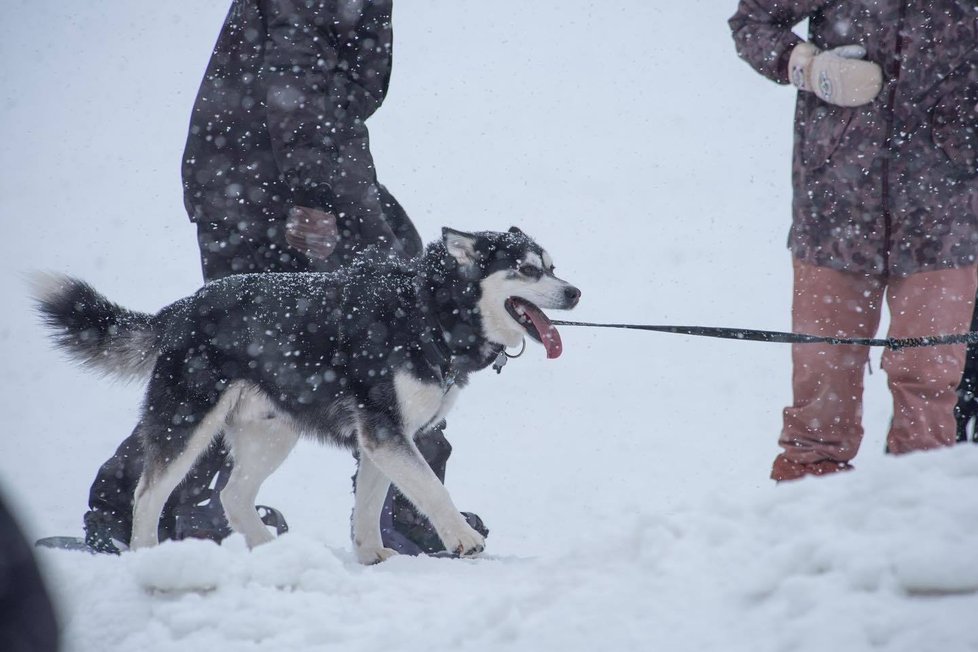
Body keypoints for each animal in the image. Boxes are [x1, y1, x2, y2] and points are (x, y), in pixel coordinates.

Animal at [32, 227, 580, 564]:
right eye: (528, 270)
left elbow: (369, 506)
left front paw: (370, 554)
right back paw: (146, 553)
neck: (427, 311)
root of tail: (185, 306)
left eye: (553, 267)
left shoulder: (381, 440)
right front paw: (463, 539)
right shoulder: (387, 432)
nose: (574, 292)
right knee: (148, 493)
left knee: (232, 497)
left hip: (271, 437)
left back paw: (269, 550)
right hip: (188, 425)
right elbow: (432, 490)